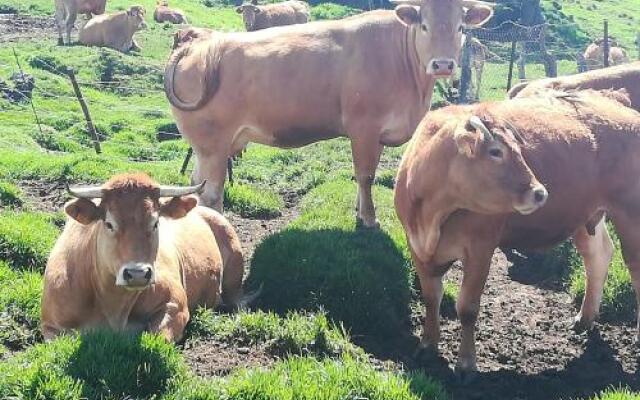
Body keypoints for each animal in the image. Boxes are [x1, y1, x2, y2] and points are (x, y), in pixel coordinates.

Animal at [165, 0, 496, 228]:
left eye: (461, 27)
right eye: (423, 25)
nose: (443, 64)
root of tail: (198, 44)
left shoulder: (377, 134)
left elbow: (365, 177)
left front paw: (360, 211)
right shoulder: (364, 128)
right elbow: (365, 175)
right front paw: (369, 219)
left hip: (206, 148)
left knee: (197, 186)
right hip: (213, 146)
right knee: (212, 194)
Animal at [392, 91, 640, 382]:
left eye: (520, 150)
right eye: (495, 152)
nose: (540, 192)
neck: (432, 214)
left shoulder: (480, 247)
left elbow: (467, 308)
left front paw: (466, 364)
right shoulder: (415, 245)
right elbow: (431, 298)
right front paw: (428, 345)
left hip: (631, 214)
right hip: (586, 215)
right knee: (597, 255)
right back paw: (584, 318)